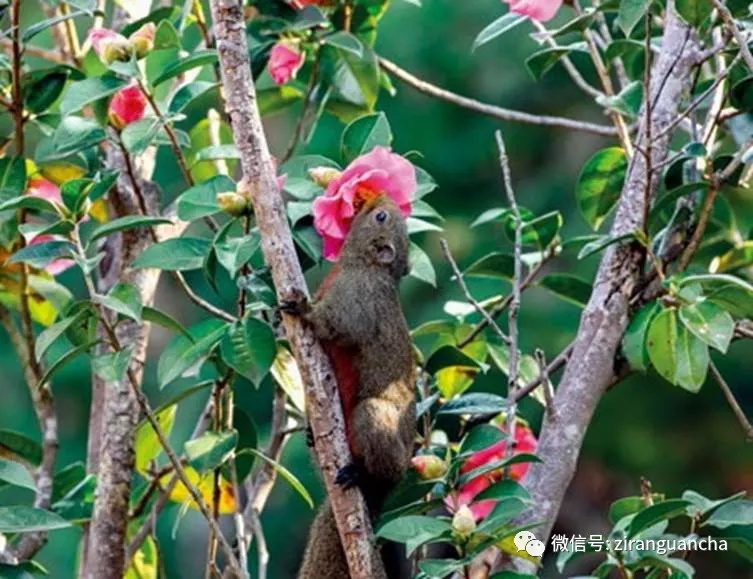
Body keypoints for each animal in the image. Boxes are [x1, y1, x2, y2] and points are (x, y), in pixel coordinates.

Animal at [288, 196, 418, 579]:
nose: (377, 198)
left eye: (380, 216)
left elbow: (338, 326)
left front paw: (302, 309)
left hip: (373, 420)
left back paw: (362, 475)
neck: (364, 266)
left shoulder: (359, 298)